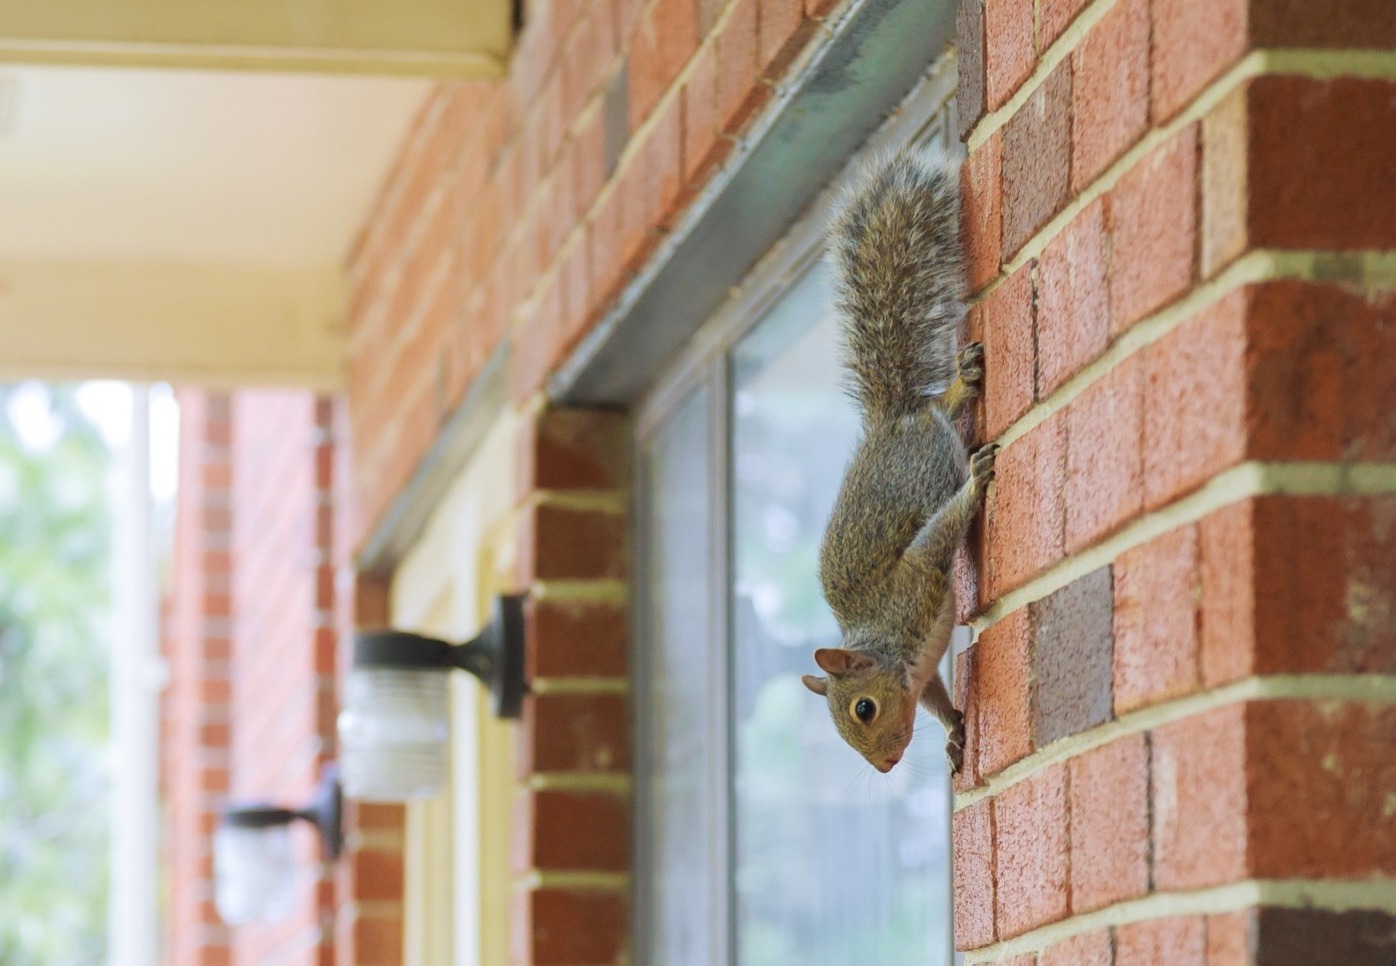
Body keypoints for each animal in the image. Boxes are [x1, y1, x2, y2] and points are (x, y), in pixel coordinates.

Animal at [804, 150, 988, 776]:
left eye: (863, 708)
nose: (884, 767)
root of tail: (890, 420)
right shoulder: (921, 670)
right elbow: (933, 696)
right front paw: (954, 729)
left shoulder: (914, 584)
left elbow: (934, 541)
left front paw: (976, 488)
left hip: (927, 457)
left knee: (939, 413)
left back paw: (963, 385)